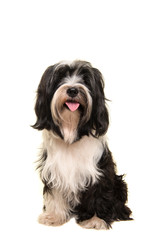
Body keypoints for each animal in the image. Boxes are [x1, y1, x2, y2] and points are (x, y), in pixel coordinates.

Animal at [31, 60, 132, 229]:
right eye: (60, 77)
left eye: (85, 80)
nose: (72, 90)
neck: (71, 133)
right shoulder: (54, 169)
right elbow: (55, 193)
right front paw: (54, 216)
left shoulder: (100, 171)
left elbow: (98, 194)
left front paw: (95, 219)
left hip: (119, 183)